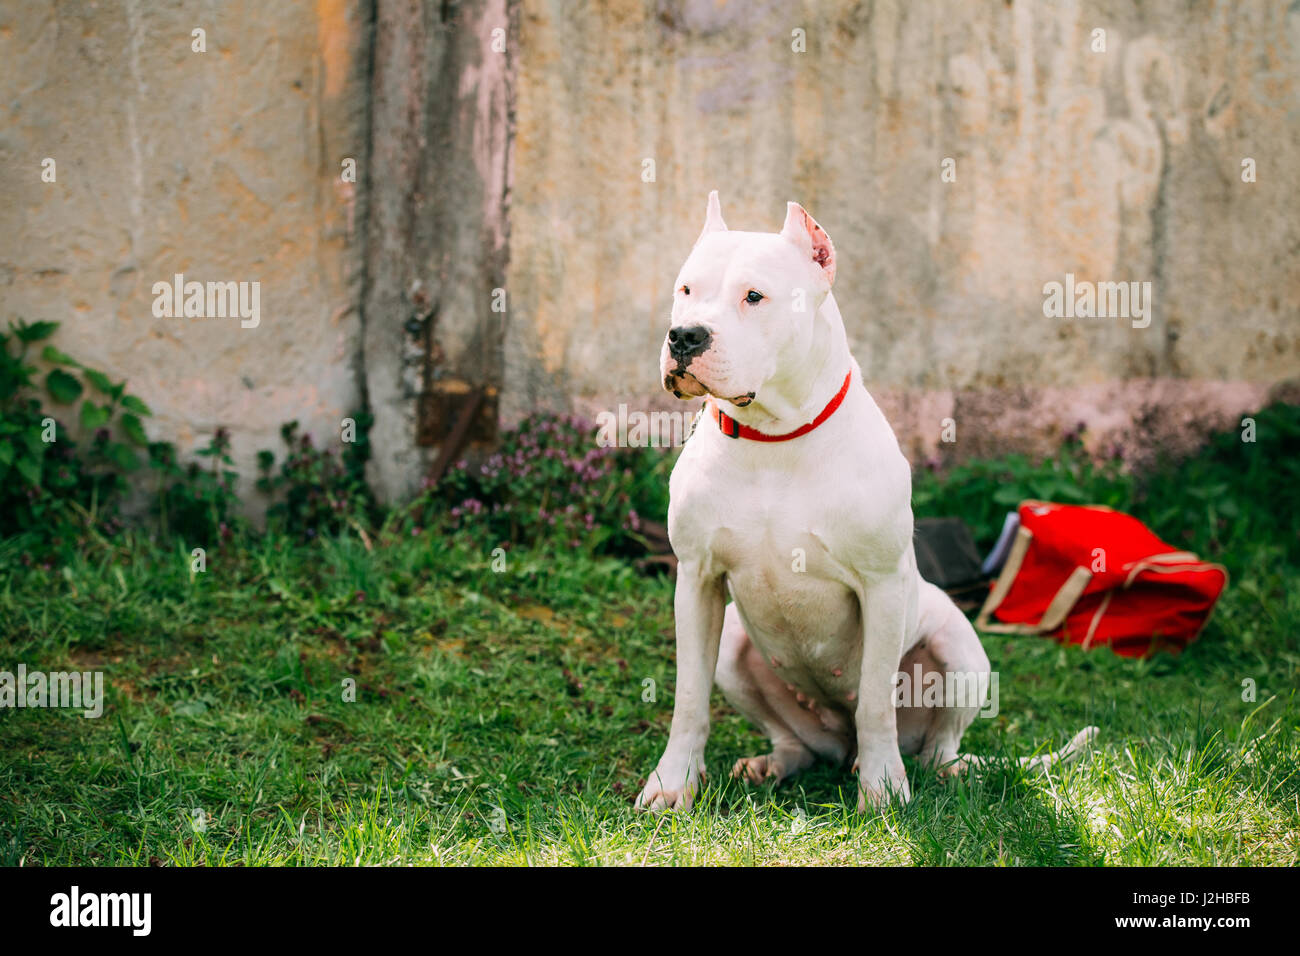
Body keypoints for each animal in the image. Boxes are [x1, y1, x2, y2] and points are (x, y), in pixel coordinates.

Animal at [634, 195, 1092, 816]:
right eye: (685, 289)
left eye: (754, 296)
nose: (684, 336)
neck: (774, 438)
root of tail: (836, 738)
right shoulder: (698, 580)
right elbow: (688, 699)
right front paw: (672, 782)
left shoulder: (881, 587)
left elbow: (876, 701)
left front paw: (882, 789)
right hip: (734, 646)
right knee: (796, 741)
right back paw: (774, 763)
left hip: (959, 651)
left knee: (934, 745)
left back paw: (932, 771)